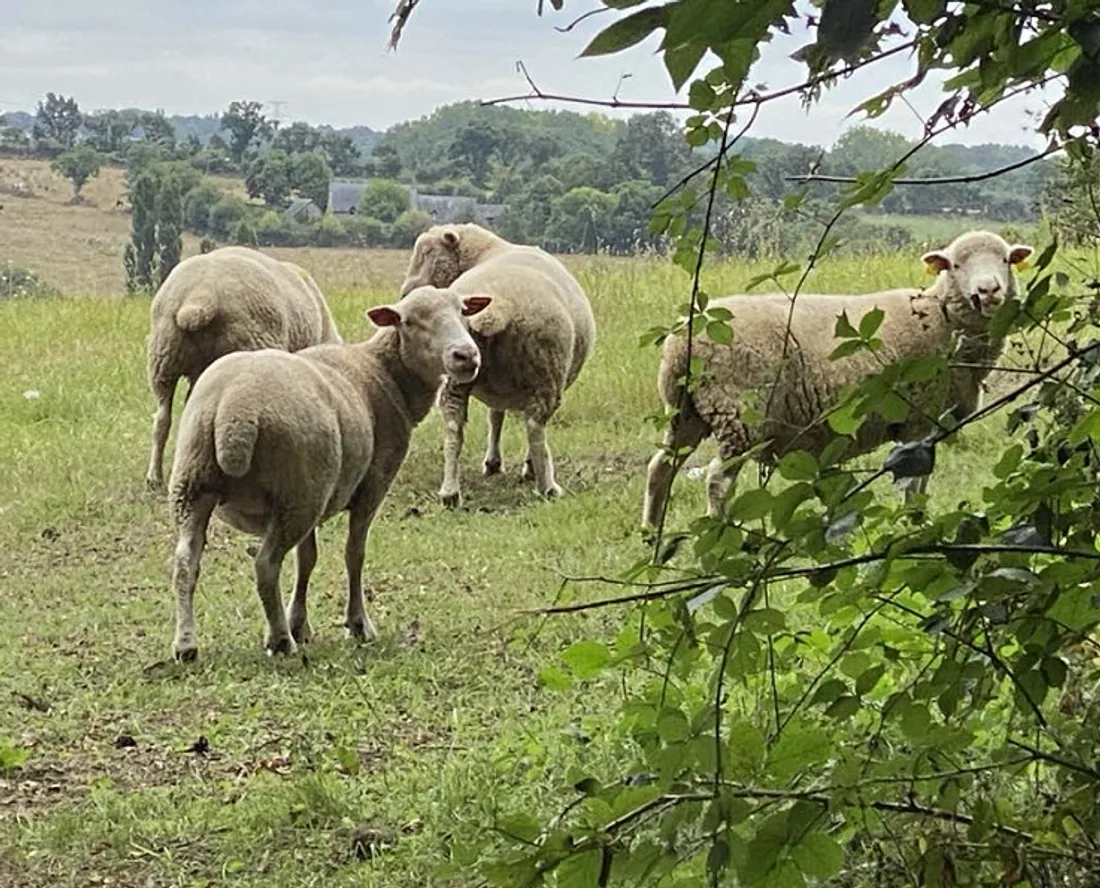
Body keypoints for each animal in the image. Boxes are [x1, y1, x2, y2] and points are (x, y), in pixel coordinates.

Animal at [166, 285, 492, 661]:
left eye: (463, 312)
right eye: (410, 321)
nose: (466, 356)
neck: (387, 372)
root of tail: (234, 411)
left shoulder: (321, 489)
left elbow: (307, 559)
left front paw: (300, 623)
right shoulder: (372, 485)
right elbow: (354, 555)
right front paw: (358, 624)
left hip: (199, 484)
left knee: (185, 562)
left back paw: (186, 644)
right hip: (294, 495)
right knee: (265, 565)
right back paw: (280, 640)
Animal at [399, 223, 596, 508]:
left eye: (426, 253)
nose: (405, 294)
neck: (487, 250)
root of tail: (493, 311)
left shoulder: (497, 386)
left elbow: (495, 416)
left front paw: (493, 463)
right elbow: (504, 418)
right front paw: (517, 466)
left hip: (456, 373)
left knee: (453, 427)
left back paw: (450, 492)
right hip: (546, 373)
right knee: (535, 427)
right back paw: (546, 486)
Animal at [641, 230, 1034, 531]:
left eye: (1005, 260)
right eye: (956, 265)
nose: (988, 290)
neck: (940, 317)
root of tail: (680, 343)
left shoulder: (931, 422)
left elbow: (923, 478)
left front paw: (921, 516)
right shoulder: (916, 418)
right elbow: (912, 479)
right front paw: (911, 521)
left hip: (686, 411)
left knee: (662, 466)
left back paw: (652, 537)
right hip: (741, 411)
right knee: (717, 480)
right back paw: (722, 536)